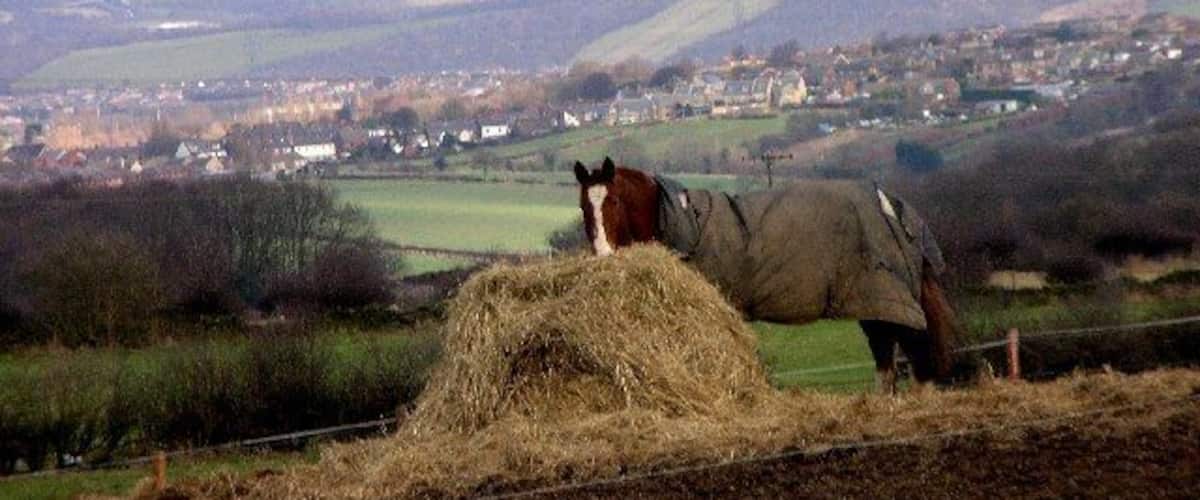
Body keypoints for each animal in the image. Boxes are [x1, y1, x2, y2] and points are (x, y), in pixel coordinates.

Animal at [573, 157, 960, 393]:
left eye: (614, 202)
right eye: (583, 207)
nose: (603, 255)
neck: (678, 217)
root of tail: (892, 205)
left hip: (887, 299)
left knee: (914, 353)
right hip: (873, 304)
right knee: (887, 358)